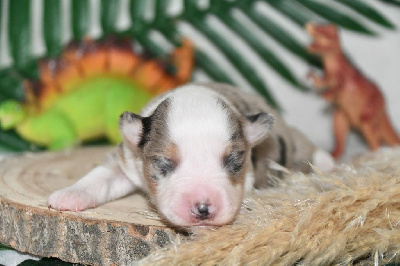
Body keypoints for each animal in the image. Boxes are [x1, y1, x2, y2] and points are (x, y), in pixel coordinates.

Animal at [47, 82, 334, 227]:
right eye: (164, 162)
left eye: (234, 161)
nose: (203, 209)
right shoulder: (127, 159)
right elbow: (101, 177)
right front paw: (69, 195)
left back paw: (326, 161)